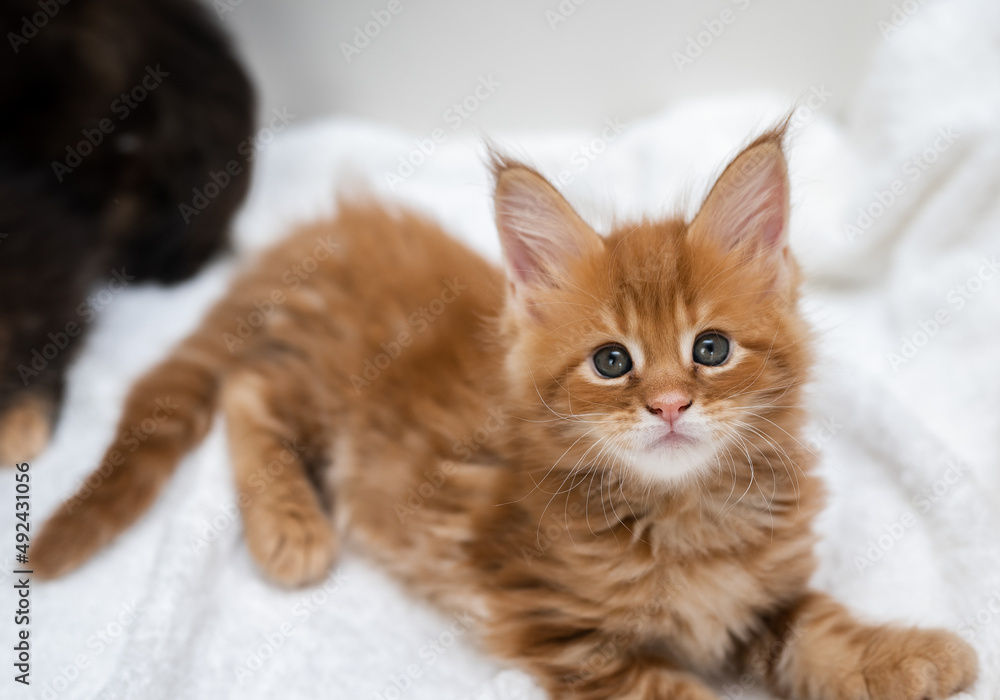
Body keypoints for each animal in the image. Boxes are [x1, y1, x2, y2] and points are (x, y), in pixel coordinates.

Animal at [33, 129, 976, 696]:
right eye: (611, 362)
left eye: (710, 349)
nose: (670, 403)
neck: (683, 516)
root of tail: (333, 232)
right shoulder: (567, 634)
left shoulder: (760, 592)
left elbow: (821, 628)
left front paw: (916, 654)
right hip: (322, 388)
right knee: (245, 392)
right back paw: (290, 529)